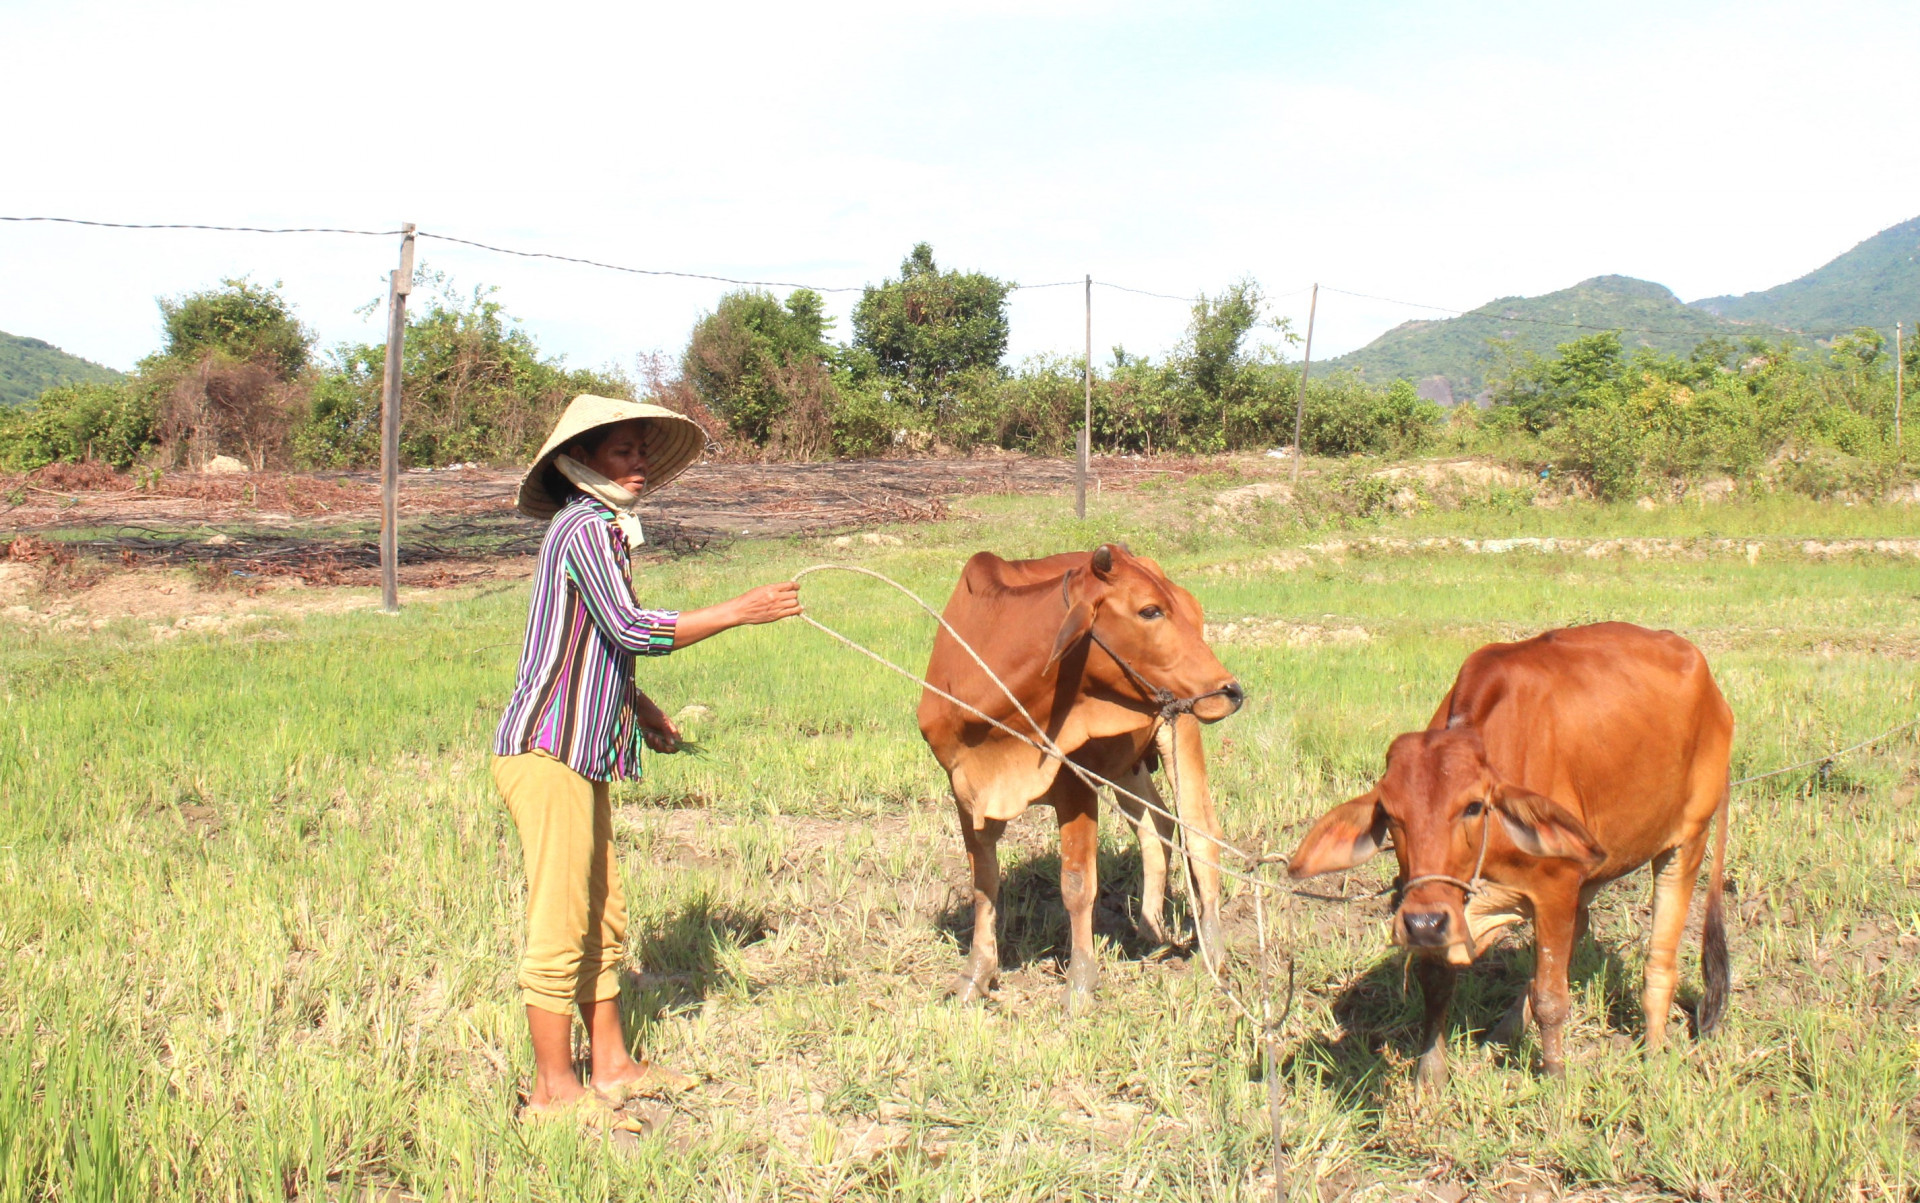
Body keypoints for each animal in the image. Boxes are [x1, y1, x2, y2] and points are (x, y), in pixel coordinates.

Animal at [917, 548, 1244, 1013]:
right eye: (1149, 610)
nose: (1231, 690)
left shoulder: (1075, 783)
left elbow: (1076, 883)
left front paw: (1079, 984)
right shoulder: (963, 787)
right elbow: (984, 881)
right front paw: (975, 975)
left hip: (1181, 724)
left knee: (1199, 834)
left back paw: (1213, 954)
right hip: (1128, 763)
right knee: (1155, 825)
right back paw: (1149, 929)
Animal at [1290, 625, 1728, 1089]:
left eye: (1472, 807)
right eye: (1390, 815)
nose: (1423, 924)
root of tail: (1707, 679)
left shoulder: (1555, 888)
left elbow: (1551, 997)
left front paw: (1555, 1077)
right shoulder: (1443, 903)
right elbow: (1437, 983)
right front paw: (1431, 1074)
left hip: (1687, 840)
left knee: (1659, 958)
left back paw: (1656, 1052)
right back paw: (1503, 1033)